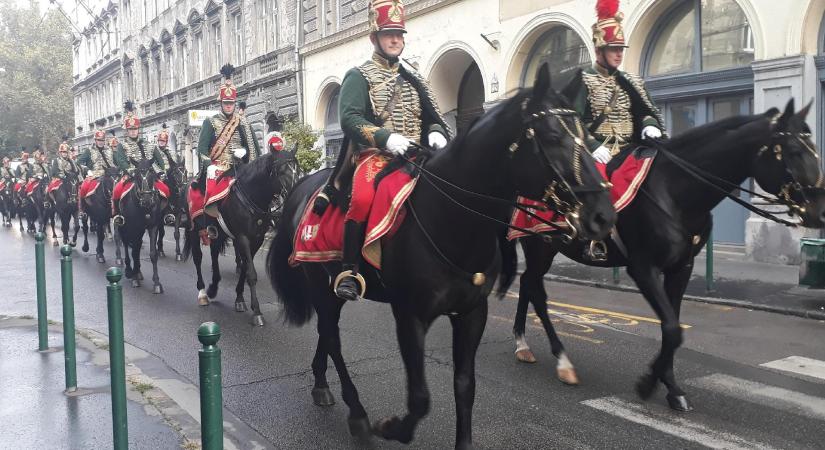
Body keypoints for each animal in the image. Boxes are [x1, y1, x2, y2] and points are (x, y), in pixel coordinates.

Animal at [116, 160, 166, 294]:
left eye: (152, 172)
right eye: (137, 174)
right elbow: (133, 251)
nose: (147, 200)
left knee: (136, 247)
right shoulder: (133, 228)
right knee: (126, 243)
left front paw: (157, 283)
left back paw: (137, 271)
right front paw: (134, 278)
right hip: (123, 226)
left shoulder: (152, 227)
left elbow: (152, 254)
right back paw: (129, 270)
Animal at [182, 148, 298, 324]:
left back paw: (213, 287)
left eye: (297, 167)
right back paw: (202, 293)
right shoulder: (243, 238)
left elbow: (245, 268)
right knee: (197, 258)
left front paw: (239, 299)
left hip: (217, 234)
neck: (251, 196)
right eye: (281, 170)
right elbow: (251, 273)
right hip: (194, 231)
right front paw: (257, 312)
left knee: (214, 254)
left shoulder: (256, 239)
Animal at [268, 67, 616, 450]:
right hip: (321, 284)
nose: (603, 215)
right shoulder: (410, 316)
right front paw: (390, 427)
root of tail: (303, 189)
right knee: (331, 336)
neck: (451, 219)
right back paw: (357, 414)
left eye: (587, 135)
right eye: (552, 136)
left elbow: (465, 386)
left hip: (331, 290)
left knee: (326, 333)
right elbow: (420, 397)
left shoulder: (472, 313)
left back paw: (320, 384)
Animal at [498, 100, 824, 414]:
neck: (675, 191)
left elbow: (673, 329)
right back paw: (560, 359)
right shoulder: (644, 269)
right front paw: (648, 383)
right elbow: (672, 329)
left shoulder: (681, 268)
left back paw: (523, 345)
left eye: (815, 149)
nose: (819, 213)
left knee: (528, 284)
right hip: (539, 245)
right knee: (536, 291)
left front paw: (671, 388)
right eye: (794, 151)